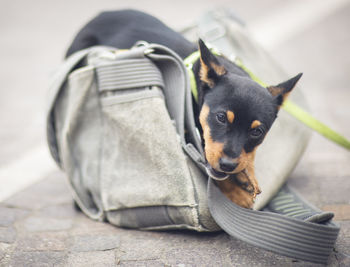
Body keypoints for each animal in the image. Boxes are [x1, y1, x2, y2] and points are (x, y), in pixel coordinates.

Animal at [67, 9, 302, 209]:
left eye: (257, 132)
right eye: (220, 118)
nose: (227, 165)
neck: (196, 87)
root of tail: (99, 16)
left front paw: (247, 173)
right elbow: (211, 170)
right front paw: (236, 191)